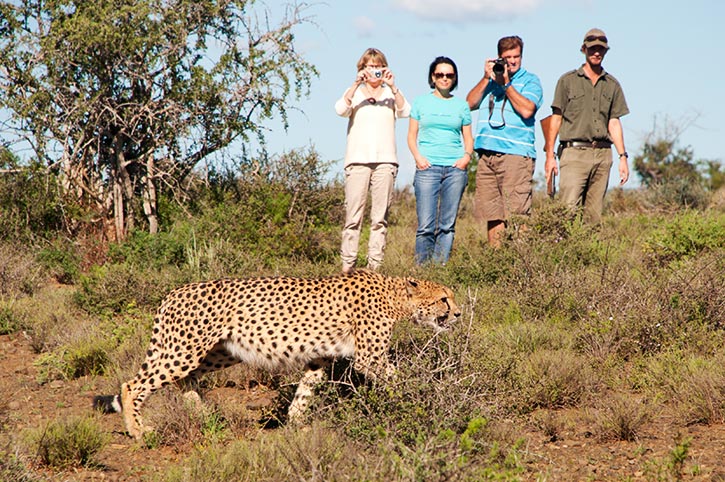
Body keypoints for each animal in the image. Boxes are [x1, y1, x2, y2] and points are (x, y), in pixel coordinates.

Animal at [93, 269, 460, 439]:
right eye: (444, 298)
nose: (458, 313)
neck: (394, 295)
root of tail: (173, 291)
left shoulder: (320, 356)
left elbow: (305, 391)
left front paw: (296, 423)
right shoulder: (370, 357)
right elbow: (399, 378)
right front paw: (422, 397)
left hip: (220, 351)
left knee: (187, 380)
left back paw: (203, 414)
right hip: (185, 349)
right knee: (133, 385)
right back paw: (139, 430)